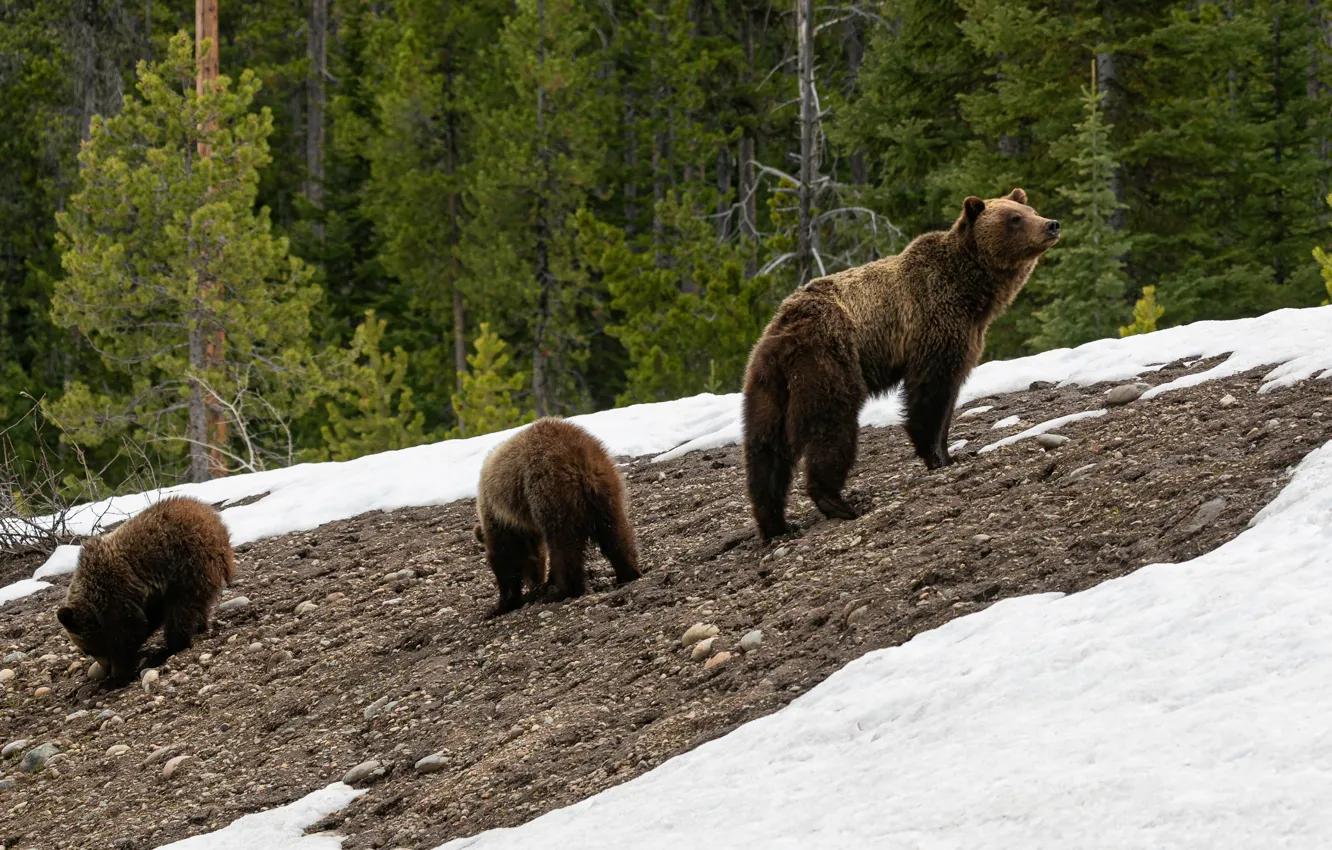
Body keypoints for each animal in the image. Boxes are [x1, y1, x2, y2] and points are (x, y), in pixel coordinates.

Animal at [56, 495, 235, 687]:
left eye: (87, 649)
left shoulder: (117, 594)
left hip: (187, 564)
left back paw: (168, 648)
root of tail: (219, 528)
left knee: (180, 610)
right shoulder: (146, 595)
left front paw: (114, 678)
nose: (105, 669)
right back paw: (199, 627)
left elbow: (128, 634)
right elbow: (146, 622)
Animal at [474, 417, 640, 615]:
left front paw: (501, 605)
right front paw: (541, 583)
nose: (534, 584)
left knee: (563, 545)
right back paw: (628, 572)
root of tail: (580, 463)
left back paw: (564, 591)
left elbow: (506, 556)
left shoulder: (499, 516)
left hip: (551, 492)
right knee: (616, 531)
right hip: (608, 489)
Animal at [742, 188, 1060, 542]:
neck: (972, 293)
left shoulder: (968, 332)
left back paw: (776, 522)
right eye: (1014, 218)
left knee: (766, 449)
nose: (1051, 224)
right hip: (827, 360)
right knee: (832, 425)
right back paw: (836, 501)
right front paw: (936, 455)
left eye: (1029, 210)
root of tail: (782, 331)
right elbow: (931, 393)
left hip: (767, 385)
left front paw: (950, 452)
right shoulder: (934, 322)